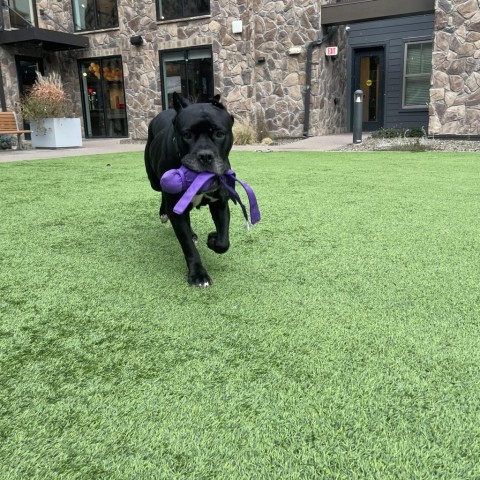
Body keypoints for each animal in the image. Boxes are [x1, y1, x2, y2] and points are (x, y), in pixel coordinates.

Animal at [146, 94, 236, 288]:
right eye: (187, 135)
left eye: (219, 134)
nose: (205, 156)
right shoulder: (176, 208)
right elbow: (187, 245)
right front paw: (198, 275)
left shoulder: (220, 203)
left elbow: (223, 241)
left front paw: (213, 239)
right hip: (154, 182)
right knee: (161, 193)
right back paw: (163, 213)